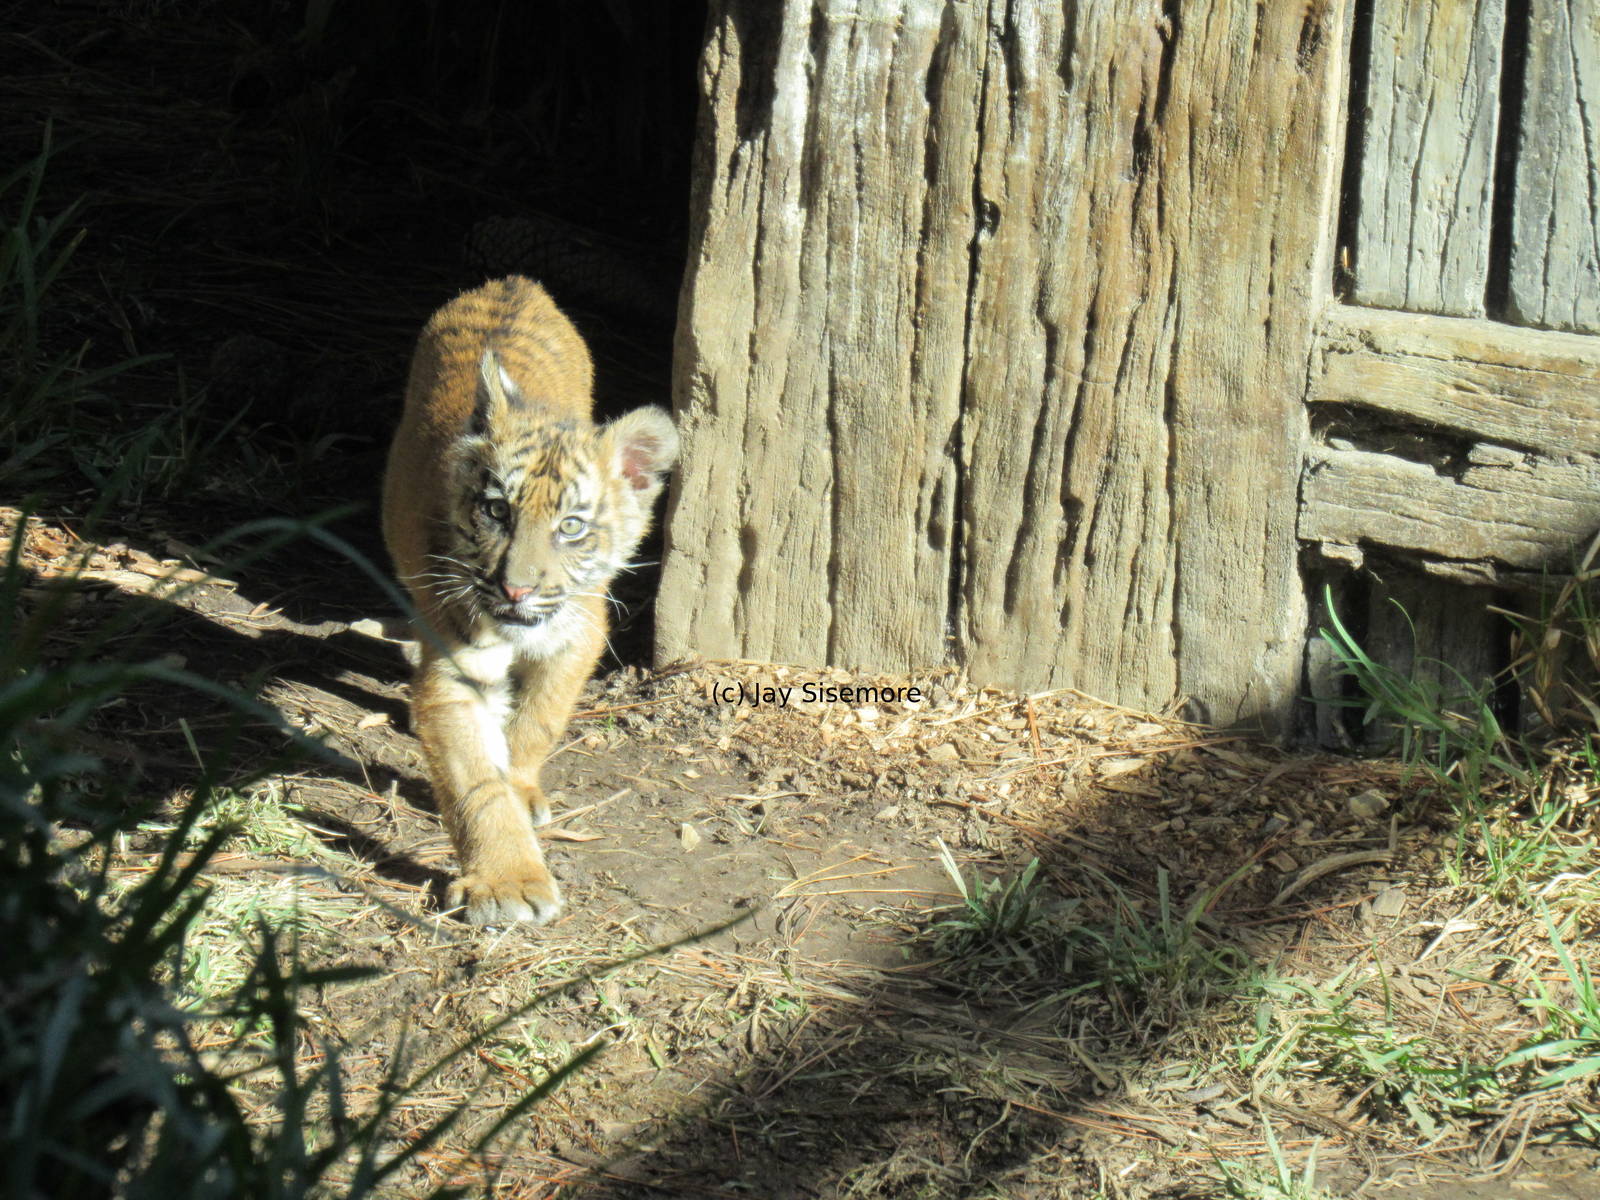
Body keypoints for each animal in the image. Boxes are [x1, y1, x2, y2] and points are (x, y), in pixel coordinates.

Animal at [382, 276, 678, 925]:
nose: (516, 588)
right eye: (497, 510)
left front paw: (521, 789)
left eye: (570, 527)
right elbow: (476, 783)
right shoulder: (456, 671)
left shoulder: (581, 635)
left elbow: (536, 724)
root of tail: (513, 284)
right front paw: (507, 883)